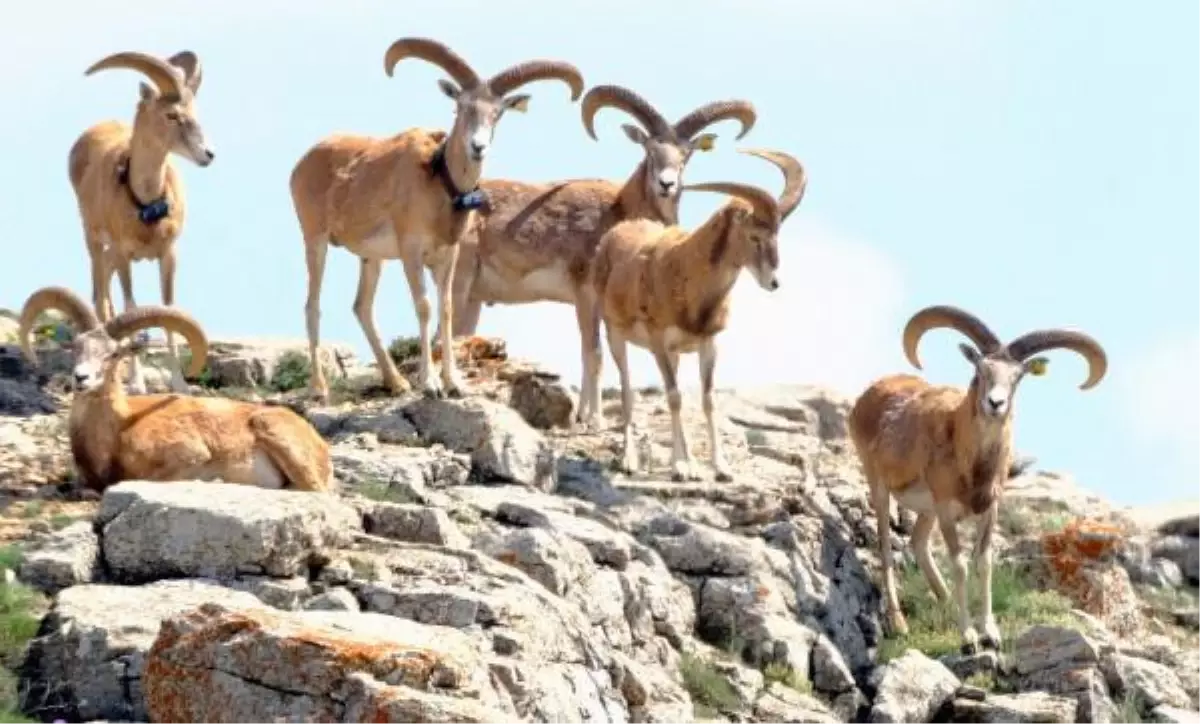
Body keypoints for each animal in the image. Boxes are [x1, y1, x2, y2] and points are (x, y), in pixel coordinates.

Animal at [18, 285, 336, 494]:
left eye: (113, 354)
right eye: (76, 347)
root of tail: (319, 444)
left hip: (277, 436)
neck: (119, 428)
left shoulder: (190, 455)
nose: (81, 378)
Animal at [292, 36, 588, 403]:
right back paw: (320, 388)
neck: (438, 183)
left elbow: (446, 310)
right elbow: (424, 307)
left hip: (371, 257)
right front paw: (430, 384)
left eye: (497, 113)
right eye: (460, 107)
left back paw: (396, 382)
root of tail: (303, 162)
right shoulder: (411, 253)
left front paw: (454, 383)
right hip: (315, 239)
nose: (478, 147)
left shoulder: (448, 256)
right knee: (312, 305)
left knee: (362, 307)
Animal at [446, 83, 753, 425]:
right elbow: (594, 355)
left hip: (474, 298)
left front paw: (584, 415)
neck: (618, 213)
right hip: (459, 284)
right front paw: (595, 419)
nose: (666, 184)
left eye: (686, 154)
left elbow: (590, 355)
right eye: (650, 150)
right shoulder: (585, 296)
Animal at [590, 148, 806, 482]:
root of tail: (610, 239)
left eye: (776, 236)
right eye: (754, 236)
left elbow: (708, 399)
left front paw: (720, 468)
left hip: (674, 352)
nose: (773, 282)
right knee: (627, 391)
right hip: (615, 334)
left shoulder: (708, 344)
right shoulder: (658, 343)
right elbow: (674, 396)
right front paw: (680, 468)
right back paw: (630, 461)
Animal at [844, 302, 1104, 653]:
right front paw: (968, 638)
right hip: (880, 488)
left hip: (926, 511)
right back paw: (900, 624)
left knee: (918, 542)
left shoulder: (988, 511)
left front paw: (990, 634)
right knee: (885, 549)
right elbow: (960, 564)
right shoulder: (946, 511)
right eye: (981, 370)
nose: (995, 403)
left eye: (1017, 377)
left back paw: (944, 601)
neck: (970, 461)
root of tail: (869, 396)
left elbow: (983, 562)